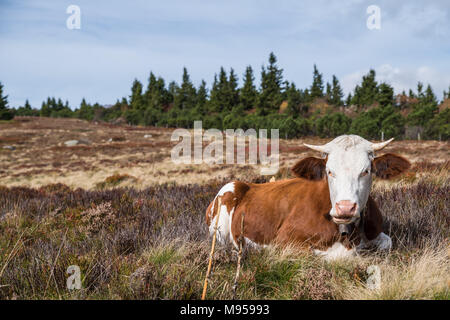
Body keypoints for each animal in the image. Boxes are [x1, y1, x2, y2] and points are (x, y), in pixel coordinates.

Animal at [206, 134, 410, 260]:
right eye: (329, 171)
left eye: (365, 171)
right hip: (221, 219)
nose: (345, 208)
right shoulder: (284, 241)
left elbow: (387, 242)